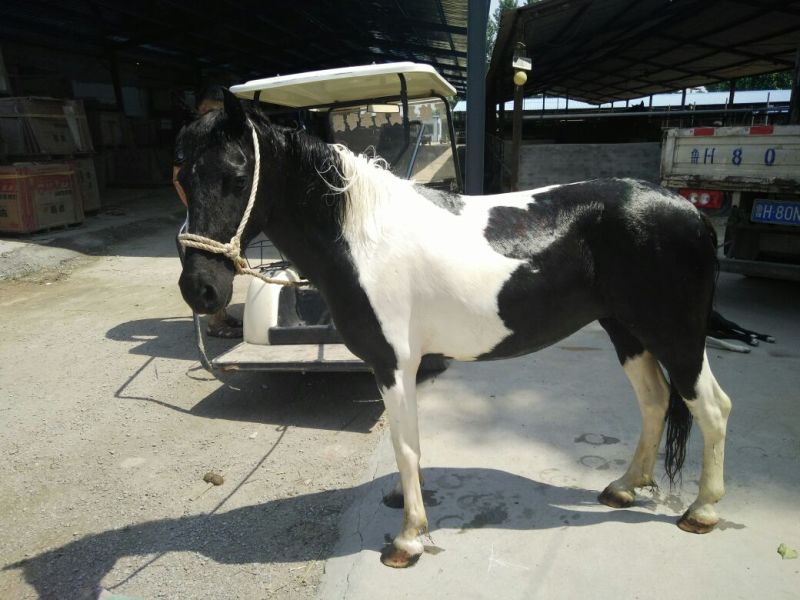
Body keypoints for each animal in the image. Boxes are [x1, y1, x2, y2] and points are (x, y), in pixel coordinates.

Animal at [177, 90, 732, 569]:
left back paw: (702, 512)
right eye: (182, 177)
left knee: (711, 408)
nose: (199, 289)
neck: (363, 238)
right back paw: (624, 487)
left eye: (238, 174)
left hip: (676, 336)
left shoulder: (392, 363)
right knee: (655, 400)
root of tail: (689, 212)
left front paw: (408, 539)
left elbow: (405, 444)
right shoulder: (406, 365)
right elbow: (410, 439)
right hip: (627, 331)